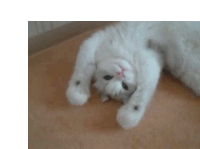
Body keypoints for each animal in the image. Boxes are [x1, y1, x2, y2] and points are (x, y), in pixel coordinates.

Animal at [66, 21, 200, 129]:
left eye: (107, 77)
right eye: (124, 86)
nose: (121, 73)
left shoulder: (95, 40)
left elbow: (82, 70)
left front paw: (77, 93)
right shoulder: (150, 62)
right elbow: (141, 95)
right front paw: (130, 114)